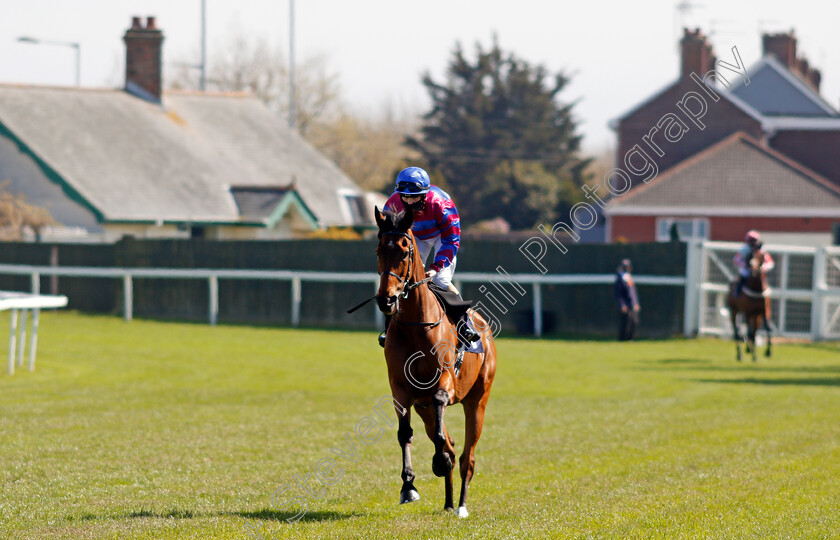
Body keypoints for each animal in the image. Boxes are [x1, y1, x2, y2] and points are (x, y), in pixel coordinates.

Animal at [372, 207, 496, 520]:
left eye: (405, 251)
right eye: (378, 250)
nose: (386, 299)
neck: (416, 325)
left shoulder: (444, 383)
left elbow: (444, 430)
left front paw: (438, 463)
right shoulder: (400, 388)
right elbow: (405, 434)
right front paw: (408, 487)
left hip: (477, 400)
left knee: (467, 456)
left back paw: (461, 505)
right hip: (424, 408)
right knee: (449, 445)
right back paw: (449, 501)